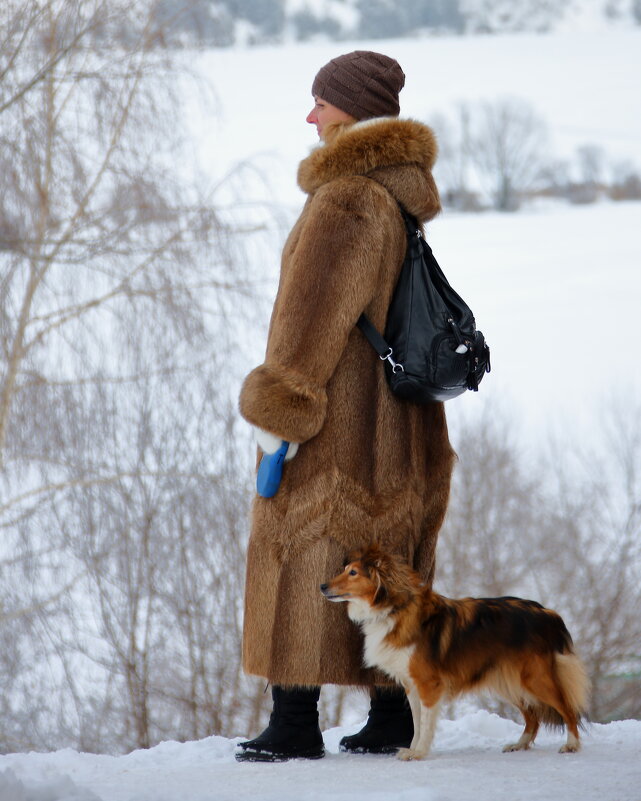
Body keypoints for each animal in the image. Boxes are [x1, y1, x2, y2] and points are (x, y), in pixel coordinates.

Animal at [322, 540, 588, 760]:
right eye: (346, 569)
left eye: (353, 573)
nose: (322, 586)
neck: (394, 608)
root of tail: (548, 614)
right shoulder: (411, 684)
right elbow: (417, 722)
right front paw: (413, 748)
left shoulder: (429, 684)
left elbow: (426, 722)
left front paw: (419, 753)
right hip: (510, 680)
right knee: (533, 717)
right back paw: (519, 744)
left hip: (534, 678)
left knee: (568, 708)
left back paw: (572, 744)